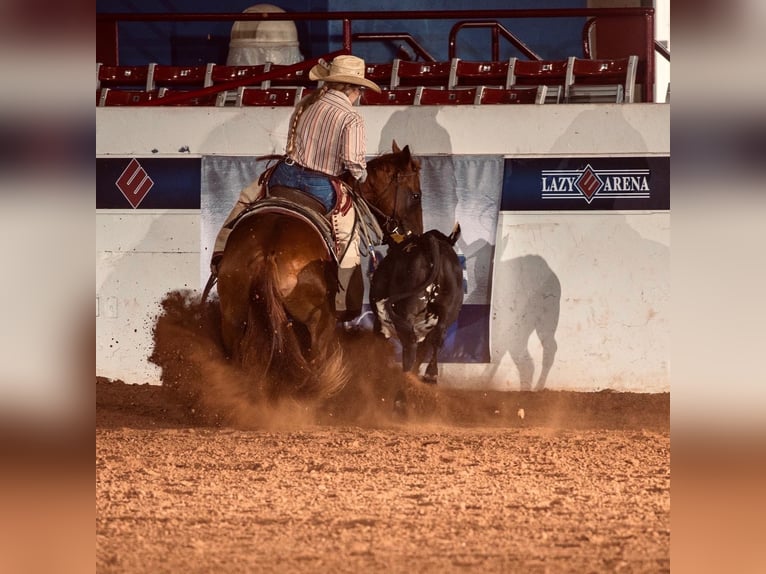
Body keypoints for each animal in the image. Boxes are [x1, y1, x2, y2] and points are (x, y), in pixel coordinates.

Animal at [216, 141, 424, 400]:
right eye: (416, 195)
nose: (415, 238)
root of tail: (267, 254)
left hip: (232, 318)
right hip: (319, 324)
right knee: (314, 367)